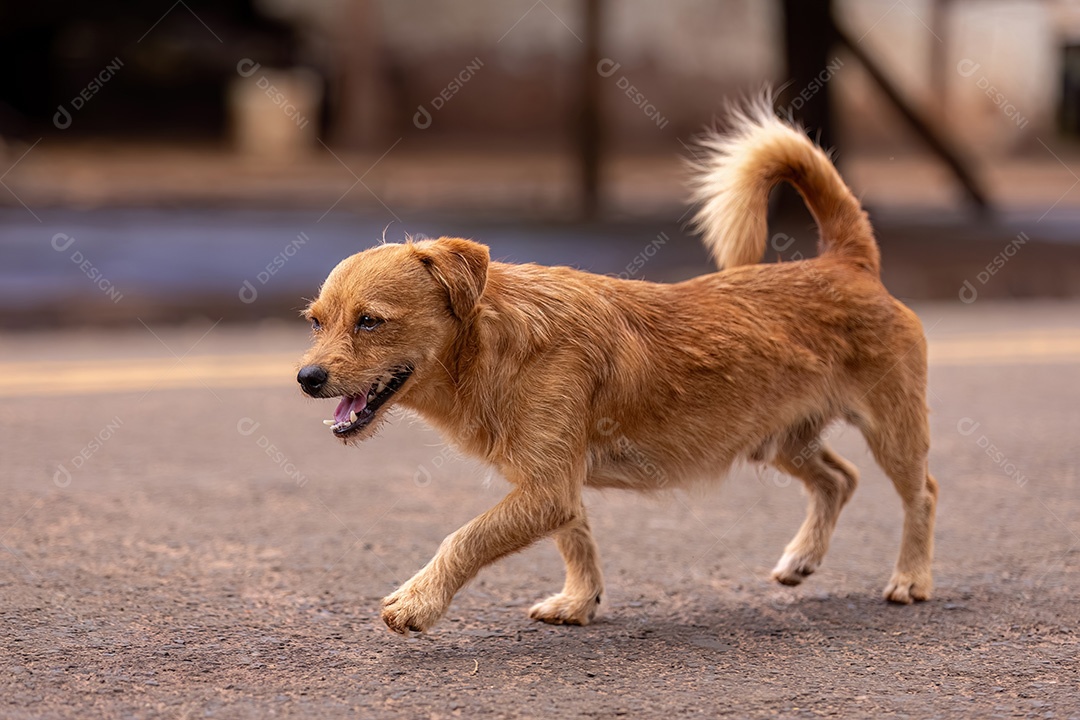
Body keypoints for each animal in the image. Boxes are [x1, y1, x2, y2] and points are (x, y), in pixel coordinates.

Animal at [295, 98, 937, 634]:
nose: (306, 378)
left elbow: (465, 538)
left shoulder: (546, 487)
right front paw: (581, 601)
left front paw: (417, 600)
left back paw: (912, 577)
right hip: (779, 438)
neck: (493, 348)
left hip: (892, 431)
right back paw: (803, 556)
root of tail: (847, 262)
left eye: (370, 321)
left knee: (921, 493)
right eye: (316, 322)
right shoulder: (555, 486)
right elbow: (576, 540)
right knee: (839, 478)